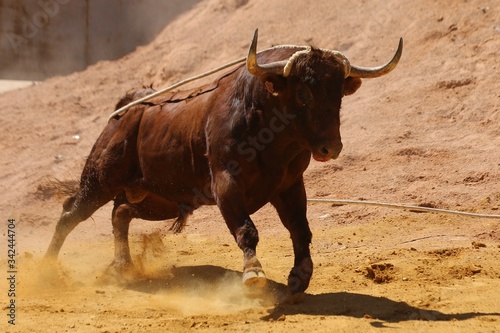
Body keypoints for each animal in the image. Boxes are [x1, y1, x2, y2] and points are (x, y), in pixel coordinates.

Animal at [44, 30, 402, 296]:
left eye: (338, 94)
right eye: (303, 94)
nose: (331, 147)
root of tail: (130, 106)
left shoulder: (289, 185)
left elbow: (300, 229)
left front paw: (300, 275)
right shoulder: (226, 185)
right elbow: (247, 230)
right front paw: (253, 273)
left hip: (159, 199)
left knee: (119, 213)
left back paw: (122, 267)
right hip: (101, 179)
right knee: (70, 213)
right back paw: (46, 270)